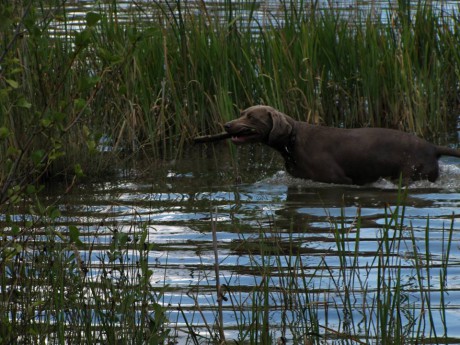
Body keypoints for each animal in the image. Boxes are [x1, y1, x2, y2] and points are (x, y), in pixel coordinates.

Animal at [224, 105, 460, 184]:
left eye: (251, 117)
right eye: (242, 112)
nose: (226, 125)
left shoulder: (337, 179)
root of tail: (433, 147)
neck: (292, 141)